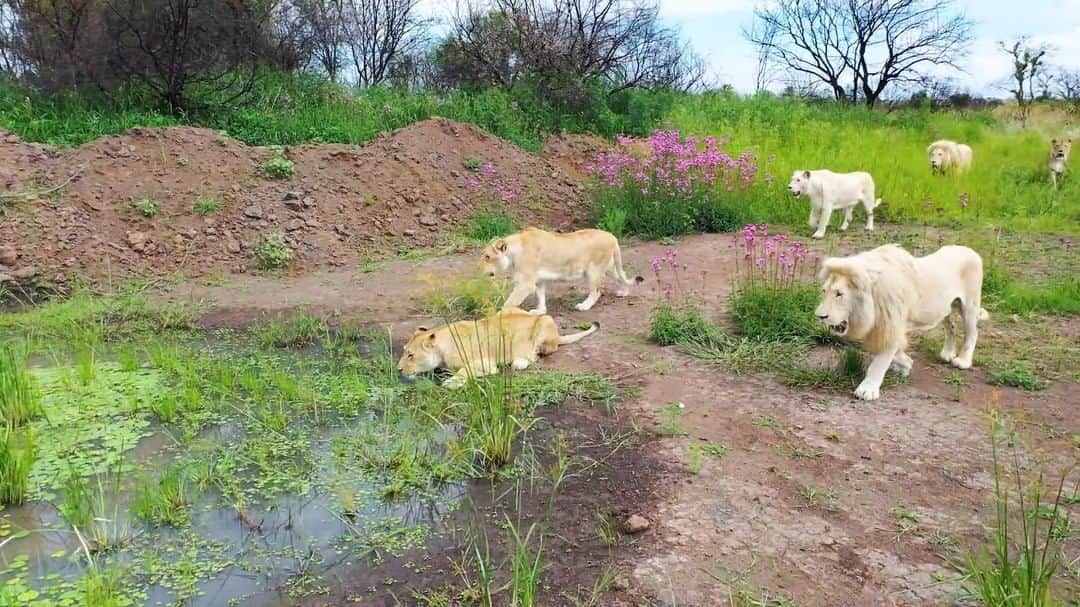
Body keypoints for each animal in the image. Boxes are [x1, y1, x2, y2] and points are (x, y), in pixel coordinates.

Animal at [396, 308, 597, 388]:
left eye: (411, 355)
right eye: (404, 351)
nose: (398, 369)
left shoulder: (486, 363)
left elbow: (464, 370)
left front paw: (451, 382)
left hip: (544, 322)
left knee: (537, 355)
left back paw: (519, 362)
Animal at [480, 227, 642, 315]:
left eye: (487, 256)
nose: (479, 269)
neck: (514, 253)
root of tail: (613, 237)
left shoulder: (526, 283)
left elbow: (509, 303)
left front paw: (498, 316)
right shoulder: (538, 280)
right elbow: (540, 296)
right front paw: (540, 311)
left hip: (594, 270)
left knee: (596, 292)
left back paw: (584, 306)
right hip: (609, 268)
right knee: (622, 276)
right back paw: (624, 292)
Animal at [815, 244, 988, 401]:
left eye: (839, 294)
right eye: (824, 291)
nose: (820, 316)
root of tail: (969, 250)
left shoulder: (890, 323)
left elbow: (881, 360)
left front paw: (867, 390)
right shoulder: (885, 326)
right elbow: (895, 349)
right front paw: (905, 364)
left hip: (969, 306)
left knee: (973, 333)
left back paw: (963, 361)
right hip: (945, 309)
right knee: (951, 328)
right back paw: (947, 353)